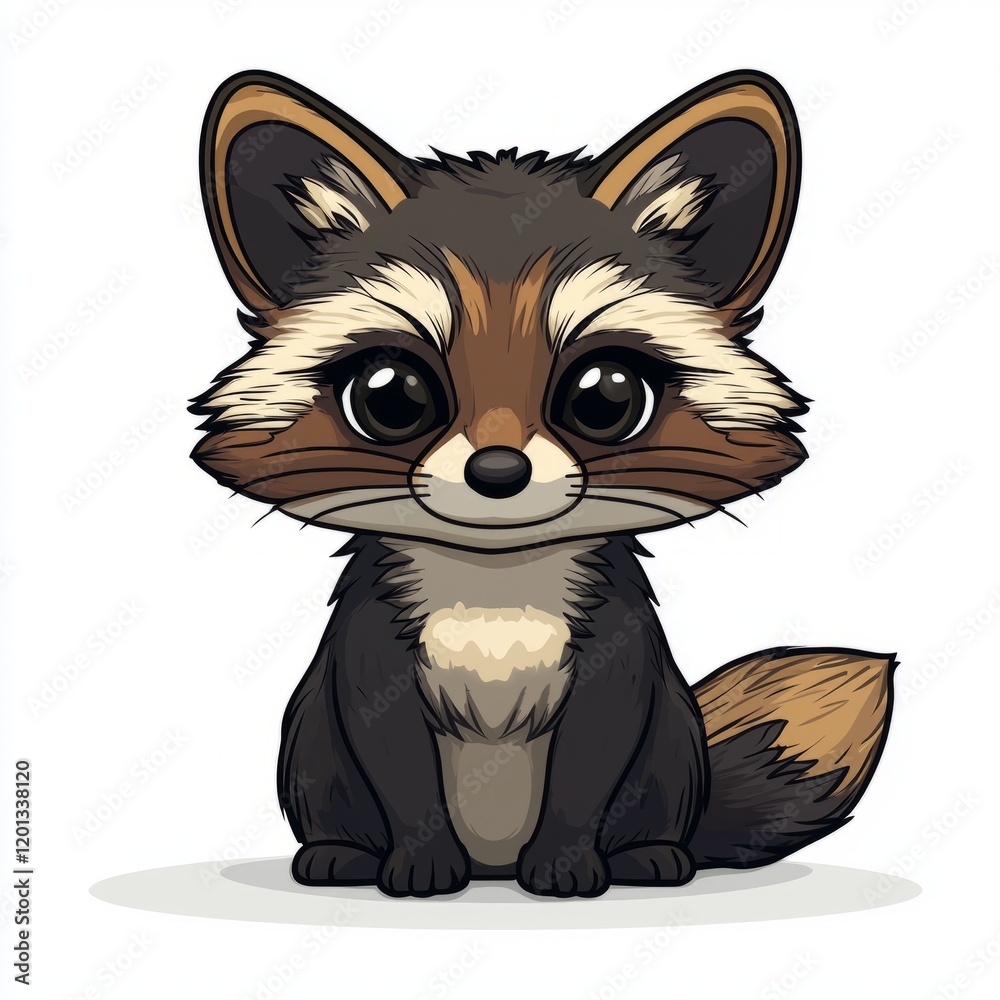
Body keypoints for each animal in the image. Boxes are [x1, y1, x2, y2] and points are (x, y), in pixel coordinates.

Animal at [192, 70, 894, 897]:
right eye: (391, 396)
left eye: (606, 395)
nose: (498, 473)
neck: (496, 590)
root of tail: (492, 864)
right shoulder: (371, 663)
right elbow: (399, 771)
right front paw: (420, 865)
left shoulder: (617, 666)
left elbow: (587, 772)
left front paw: (564, 866)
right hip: (309, 745)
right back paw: (342, 855)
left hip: (674, 744)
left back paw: (650, 856)